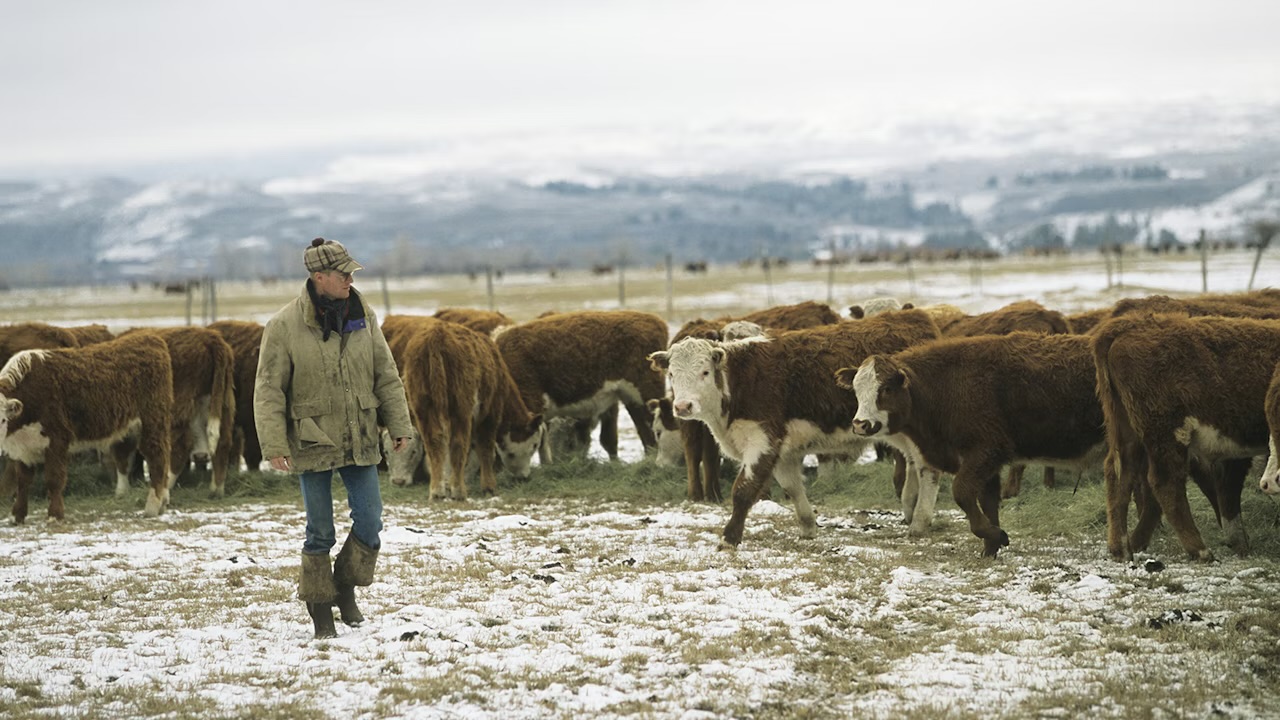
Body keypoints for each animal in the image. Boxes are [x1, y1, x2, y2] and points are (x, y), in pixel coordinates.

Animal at [0, 332, 173, 522]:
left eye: (2, 419)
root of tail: (150, 338)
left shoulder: (57, 439)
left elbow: (54, 479)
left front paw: (54, 515)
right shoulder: (24, 448)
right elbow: (23, 482)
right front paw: (17, 515)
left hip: (153, 421)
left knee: (157, 456)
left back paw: (153, 506)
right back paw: (163, 502)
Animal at [401, 318, 544, 499]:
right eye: (534, 445)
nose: (524, 477)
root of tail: (436, 336)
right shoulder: (490, 414)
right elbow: (486, 449)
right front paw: (489, 487)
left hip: (422, 406)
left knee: (433, 442)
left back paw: (437, 491)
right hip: (460, 407)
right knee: (458, 443)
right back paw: (459, 491)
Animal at [649, 308, 941, 546]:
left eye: (705, 372)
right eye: (671, 373)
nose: (683, 406)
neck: (741, 380)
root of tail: (916, 317)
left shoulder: (762, 440)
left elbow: (743, 490)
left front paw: (729, 539)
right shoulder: (782, 450)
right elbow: (793, 488)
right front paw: (808, 528)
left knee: (928, 469)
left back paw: (919, 522)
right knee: (914, 464)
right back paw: (909, 507)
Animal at [843, 332, 1106, 558]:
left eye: (886, 389)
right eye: (856, 390)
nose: (860, 424)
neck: (944, 385)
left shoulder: (984, 453)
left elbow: (961, 493)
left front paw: (998, 536)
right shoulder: (987, 464)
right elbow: (987, 502)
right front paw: (990, 547)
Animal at [1092, 313, 1280, 561]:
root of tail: (1126, 326)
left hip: (1127, 432)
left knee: (1119, 475)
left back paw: (1122, 549)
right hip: (1167, 432)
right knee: (1165, 482)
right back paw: (1199, 549)